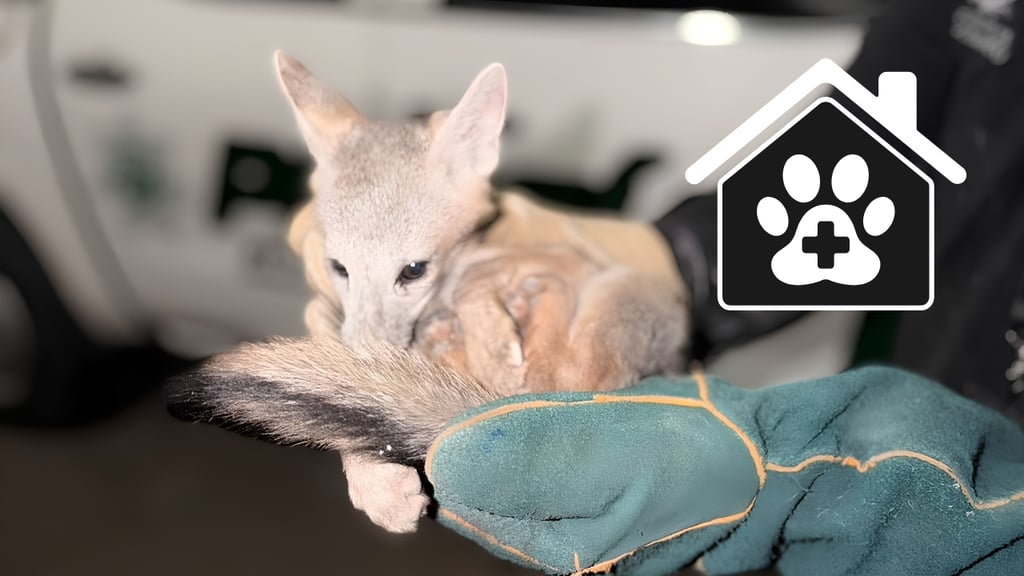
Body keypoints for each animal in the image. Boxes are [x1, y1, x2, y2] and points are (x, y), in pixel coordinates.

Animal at [170, 53, 690, 533]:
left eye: (413, 271)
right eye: (339, 267)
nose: (368, 357)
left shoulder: (561, 255)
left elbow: (478, 283)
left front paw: (493, 343)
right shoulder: (327, 311)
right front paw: (373, 475)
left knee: (563, 374)